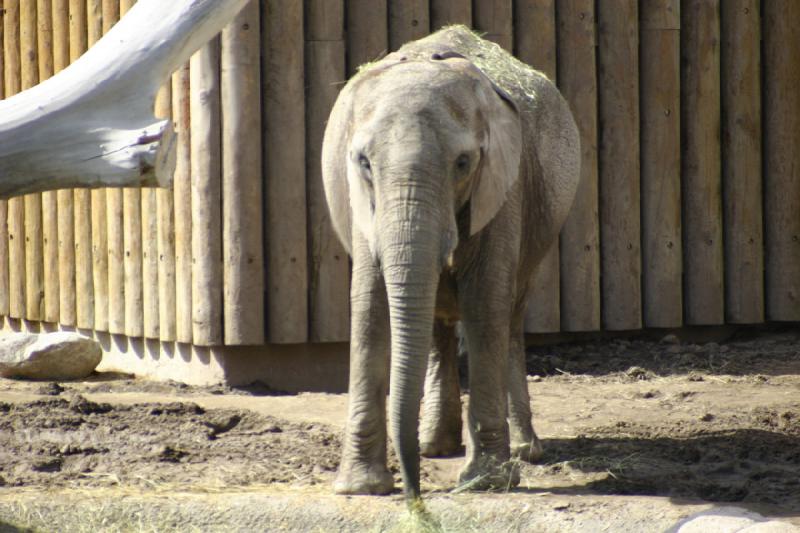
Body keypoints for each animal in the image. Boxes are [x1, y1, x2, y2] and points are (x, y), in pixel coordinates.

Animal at [322, 23, 580, 498]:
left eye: (463, 162)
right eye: (363, 162)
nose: (416, 495)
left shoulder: (501, 186)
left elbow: (485, 303)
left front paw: (486, 482)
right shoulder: (360, 205)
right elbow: (368, 307)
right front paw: (361, 488)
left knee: (510, 314)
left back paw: (523, 451)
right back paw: (434, 446)